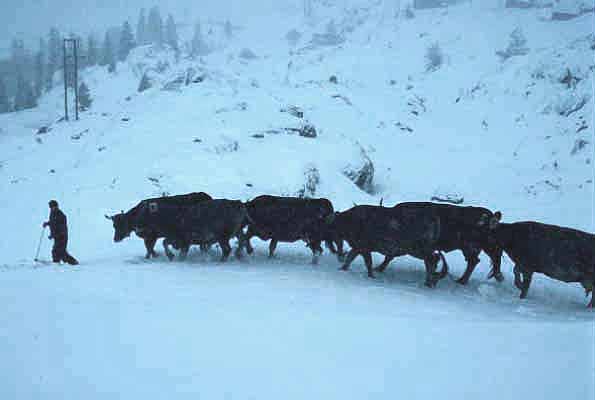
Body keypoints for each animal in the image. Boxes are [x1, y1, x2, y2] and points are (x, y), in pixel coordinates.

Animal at [374, 203, 506, 284]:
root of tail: (491, 218)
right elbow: (389, 256)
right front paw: (379, 268)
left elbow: (389, 256)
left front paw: (378, 268)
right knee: (478, 261)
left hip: (471, 248)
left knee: (477, 261)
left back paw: (461, 281)